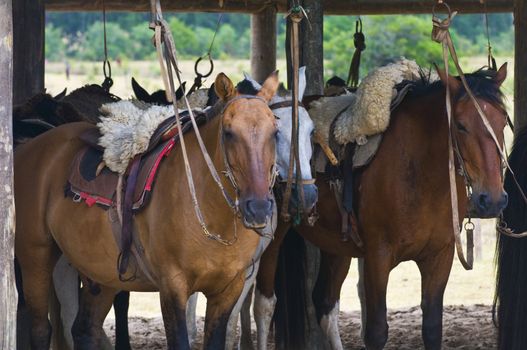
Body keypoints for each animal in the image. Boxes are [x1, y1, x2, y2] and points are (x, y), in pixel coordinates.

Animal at [14, 72, 280, 350]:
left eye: (275, 132)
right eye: (228, 133)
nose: (258, 208)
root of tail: (26, 147)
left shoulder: (228, 290)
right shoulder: (173, 287)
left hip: (100, 272)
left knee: (84, 329)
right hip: (35, 258)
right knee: (41, 329)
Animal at [256, 64, 512, 348]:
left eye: (503, 121)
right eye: (461, 125)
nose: (492, 199)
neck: (419, 170)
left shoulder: (439, 256)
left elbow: (432, 328)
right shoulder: (378, 257)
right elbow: (377, 331)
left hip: (336, 244)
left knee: (325, 303)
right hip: (273, 234)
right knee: (265, 303)